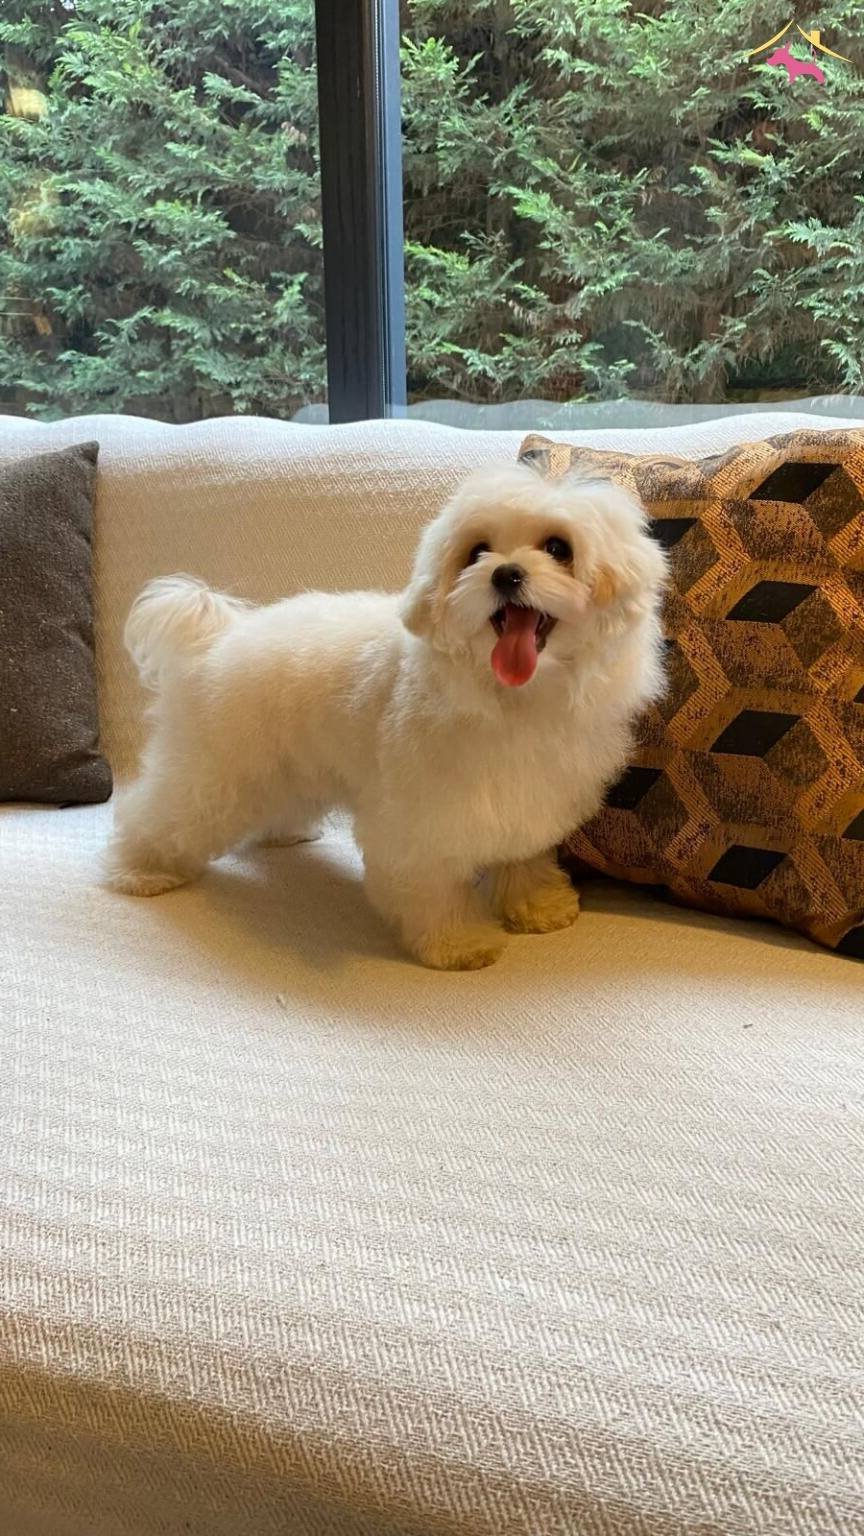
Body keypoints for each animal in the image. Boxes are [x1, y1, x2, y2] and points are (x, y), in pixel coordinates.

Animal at [105, 463, 667, 969]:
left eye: (557, 548)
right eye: (476, 553)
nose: (505, 574)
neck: (514, 698)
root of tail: (218, 638)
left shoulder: (528, 798)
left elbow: (523, 858)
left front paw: (537, 906)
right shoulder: (419, 823)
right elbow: (434, 888)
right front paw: (458, 942)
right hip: (217, 768)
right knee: (159, 813)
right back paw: (141, 871)